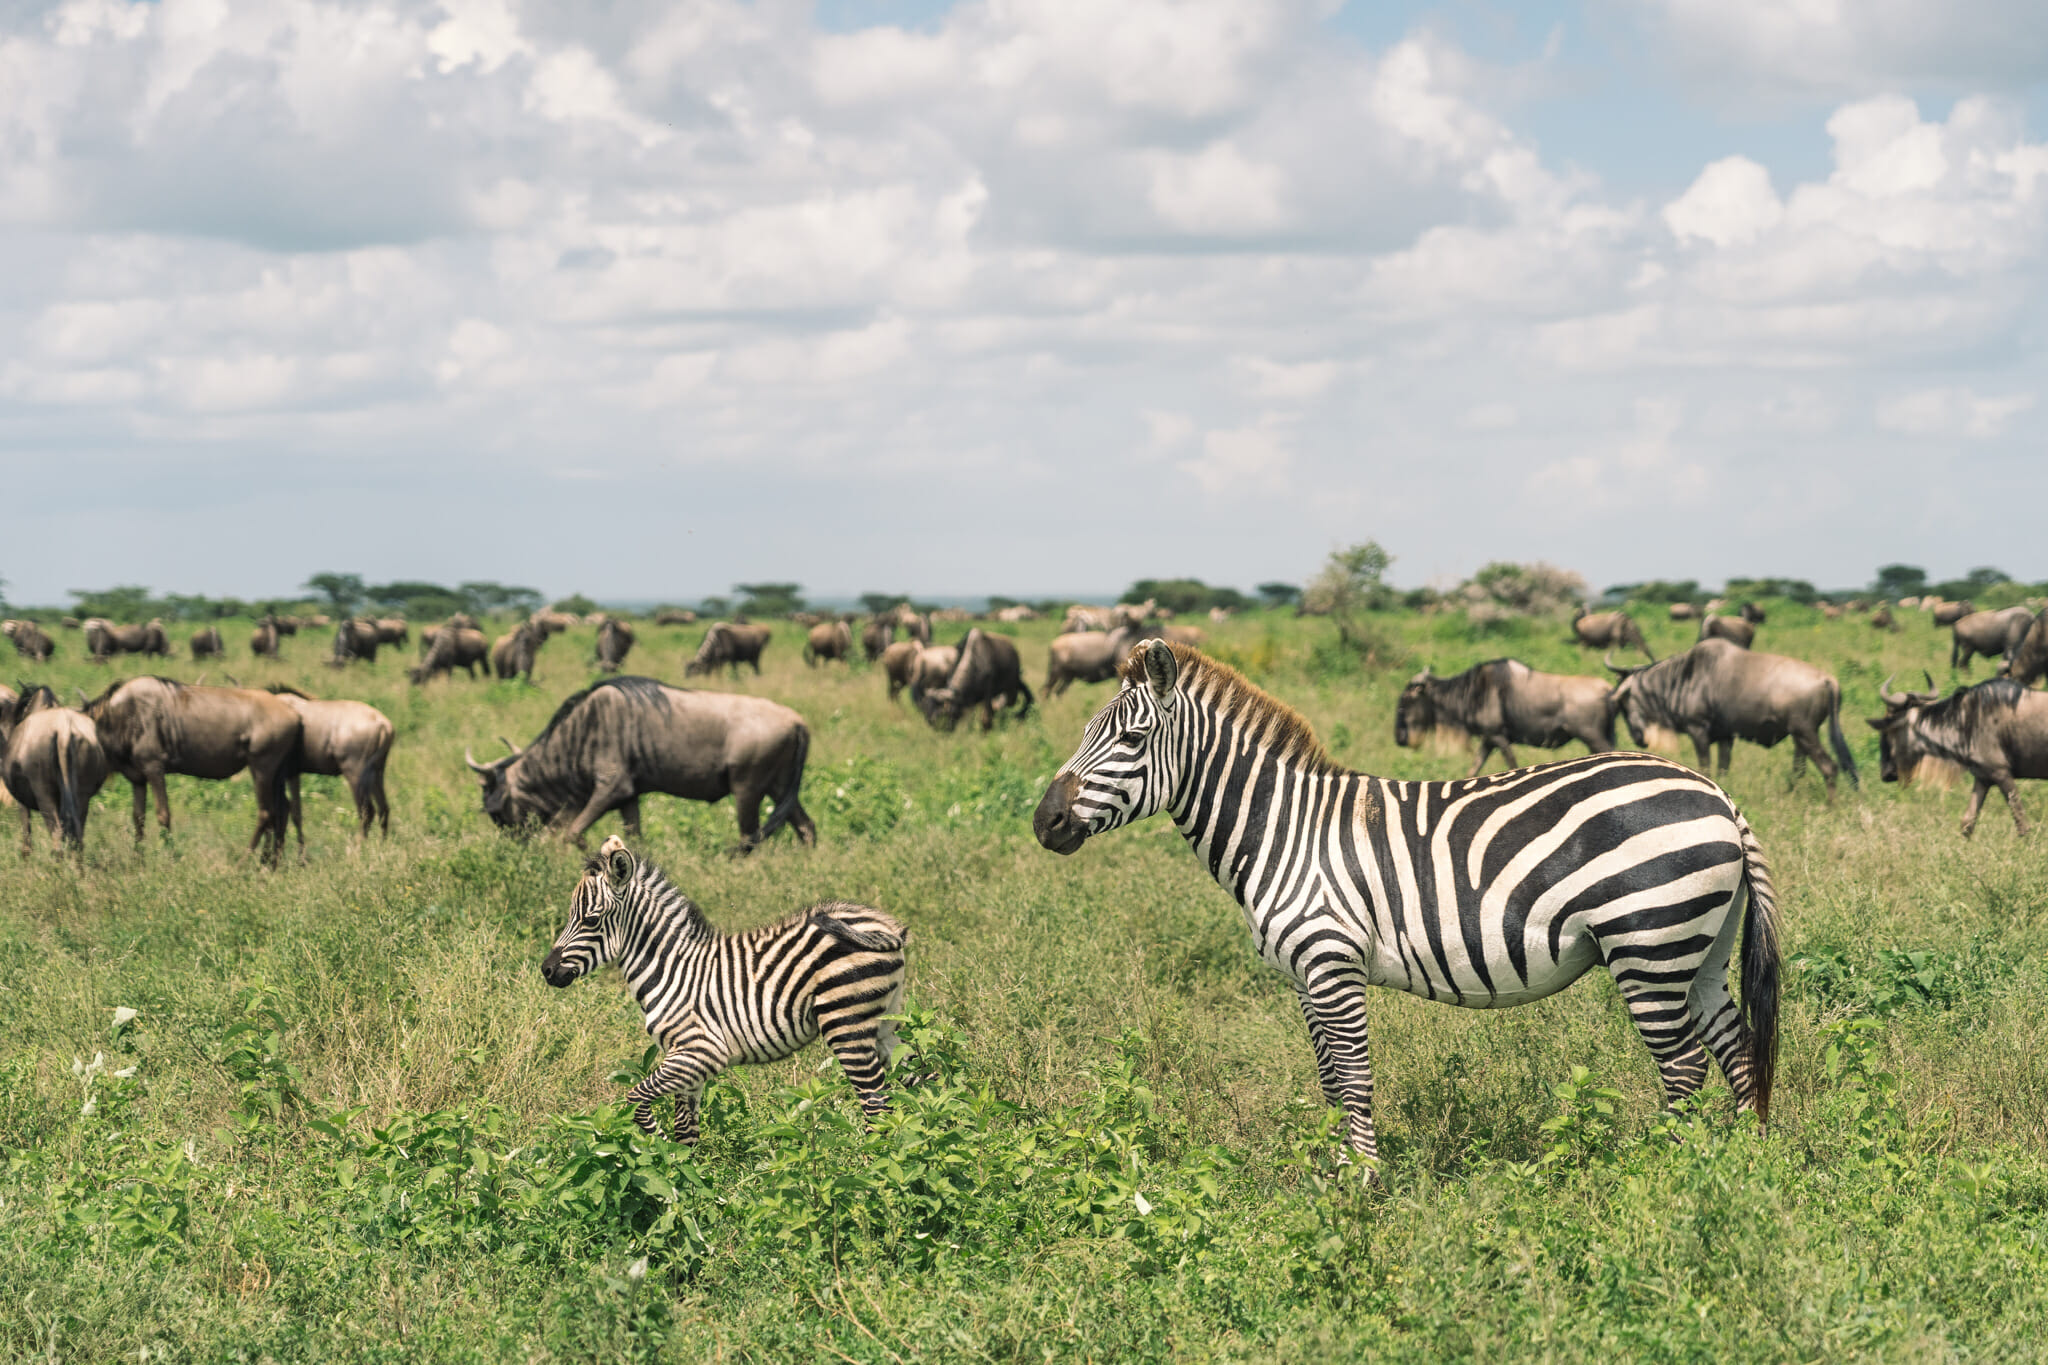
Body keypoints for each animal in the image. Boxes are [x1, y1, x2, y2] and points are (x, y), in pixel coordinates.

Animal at [541, 836, 910, 1142]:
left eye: (590, 920)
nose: (547, 970)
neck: (670, 967)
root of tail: (885, 925)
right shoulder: (686, 1060)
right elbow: (686, 1131)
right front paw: (684, 1177)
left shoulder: (699, 1050)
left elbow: (636, 1101)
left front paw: (656, 1146)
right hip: (885, 1024)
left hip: (846, 1023)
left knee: (877, 1105)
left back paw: (870, 1167)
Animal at [1032, 640, 1781, 1171]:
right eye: (1086, 732)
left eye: (1130, 740)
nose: (1045, 821)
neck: (1283, 828)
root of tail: (1716, 793)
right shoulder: (1304, 974)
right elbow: (1329, 1081)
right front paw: (1333, 1174)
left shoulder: (1331, 961)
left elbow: (1355, 1078)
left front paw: (1365, 1182)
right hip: (1699, 949)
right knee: (1736, 1047)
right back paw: (1742, 1165)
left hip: (1647, 941)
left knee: (1682, 1064)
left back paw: (1662, 1174)